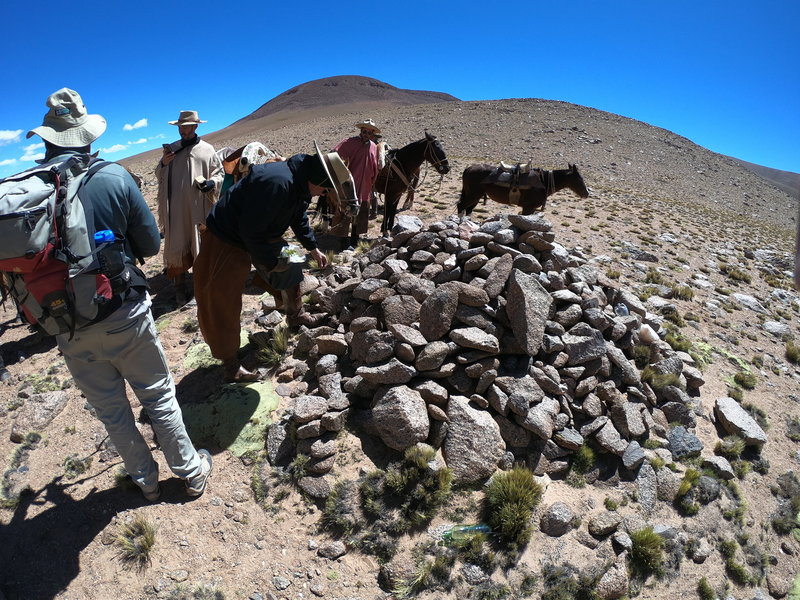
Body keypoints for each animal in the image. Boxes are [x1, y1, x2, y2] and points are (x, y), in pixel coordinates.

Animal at [456, 163, 588, 217]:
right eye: (579, 178)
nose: (586, 193)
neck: (543, 181)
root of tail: (469, 168)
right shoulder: (528, 207)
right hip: (472, 195)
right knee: (461, 206)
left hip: (475, 196)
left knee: (468, 209)